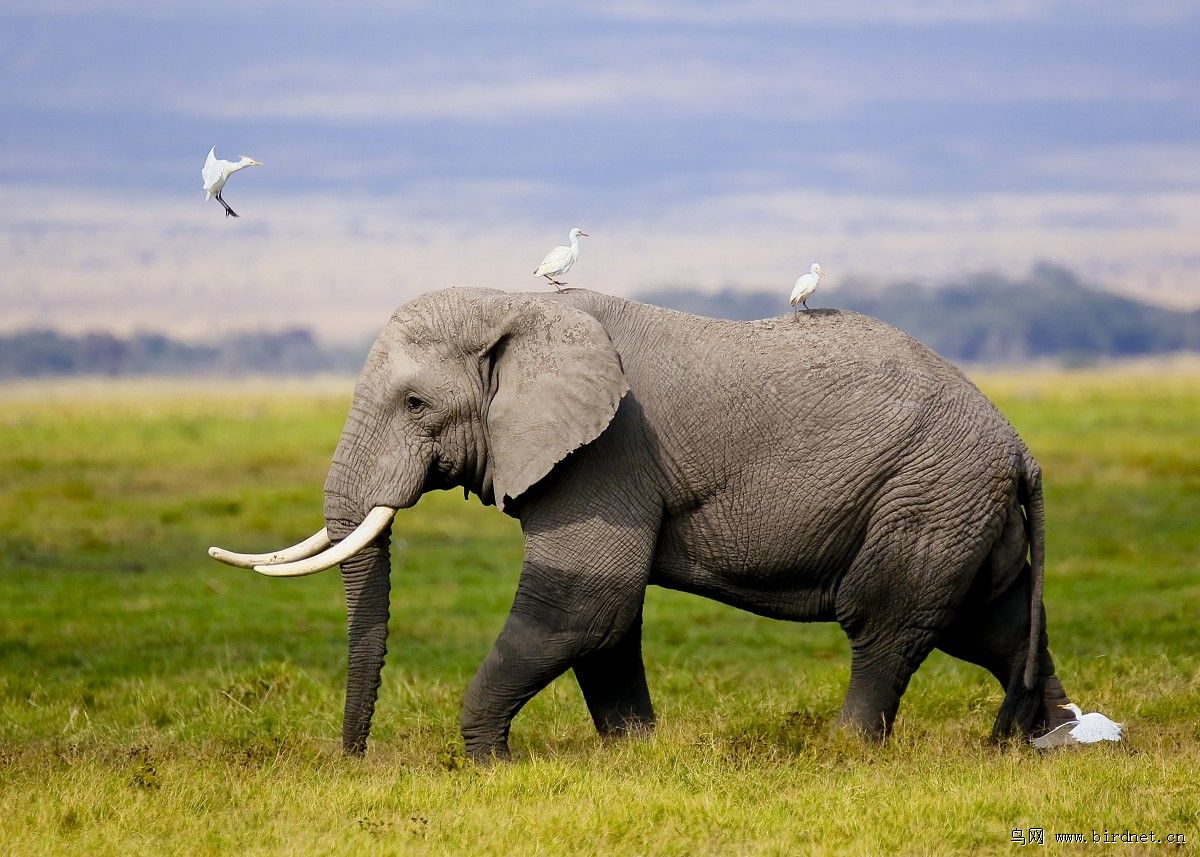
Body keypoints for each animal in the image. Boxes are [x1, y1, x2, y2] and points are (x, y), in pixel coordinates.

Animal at [209, 286, 1076, 760]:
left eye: (417, 403)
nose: (354, 756)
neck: (516, 304)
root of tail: (1021, 446)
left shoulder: (607, 451)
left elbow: (583, 600)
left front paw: (491, 763)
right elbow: (605, 620)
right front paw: (638, 755)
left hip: (926, 493)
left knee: (887, 623)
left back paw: (847, 749)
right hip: (956, 507)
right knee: (993, 625)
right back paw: (1049, 742)